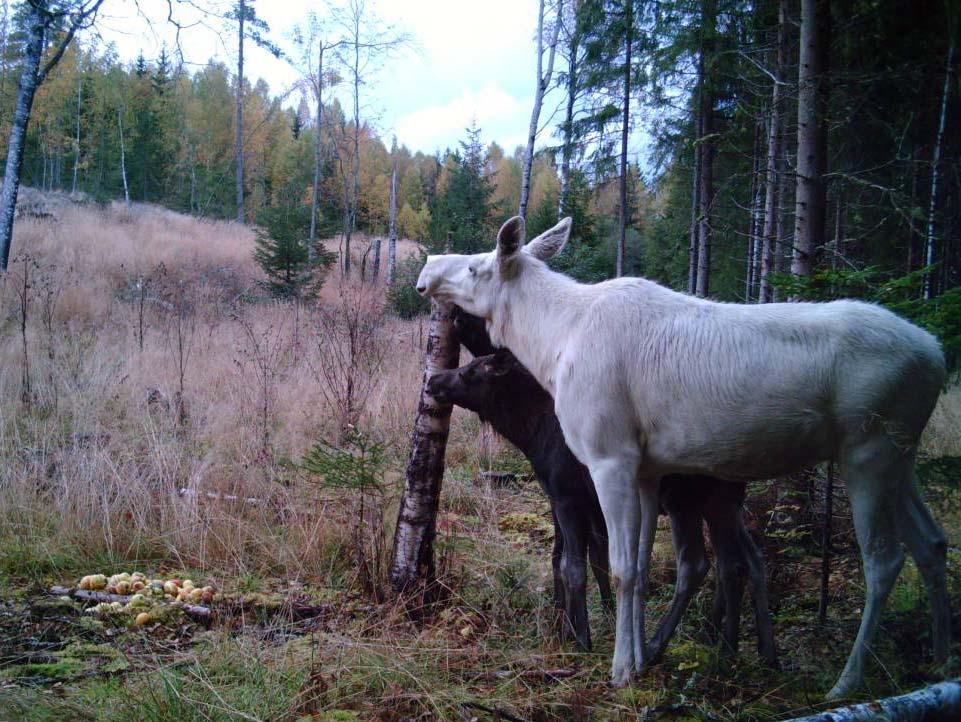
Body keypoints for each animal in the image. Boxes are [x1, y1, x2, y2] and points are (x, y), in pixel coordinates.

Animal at [428, 312, 780, 660]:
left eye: (470, 372)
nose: (434, 380)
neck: (532, 433)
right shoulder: (577, 500)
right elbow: (592, 557)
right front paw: (589, 620)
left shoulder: (566, 496)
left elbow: (570, 564)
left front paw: (579, 635)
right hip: (724, 501)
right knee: (741, 561)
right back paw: (748, 649)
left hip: (691, 500)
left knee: (708, 564)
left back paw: (684, 648)